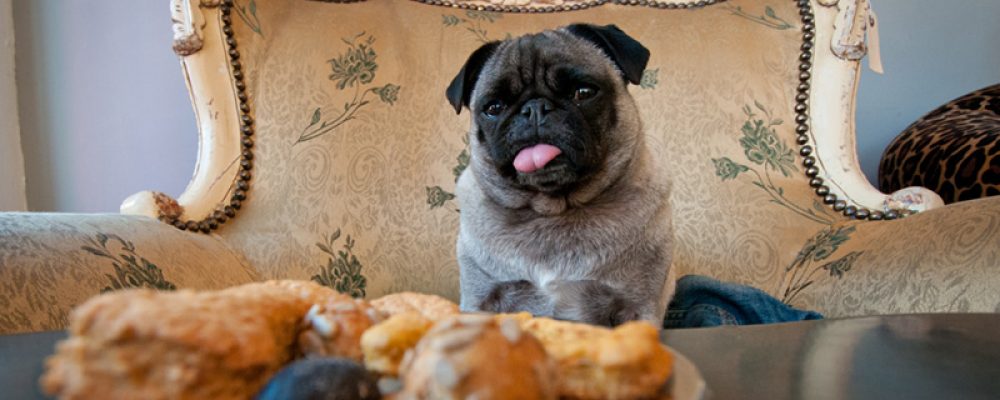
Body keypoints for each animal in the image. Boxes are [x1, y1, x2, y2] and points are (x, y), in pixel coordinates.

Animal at [446, 24, 673, 327]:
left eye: (583, 92)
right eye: (493, 108)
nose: (535, 108)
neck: (552, 210)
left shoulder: (637, 306)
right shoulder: (480, 300)